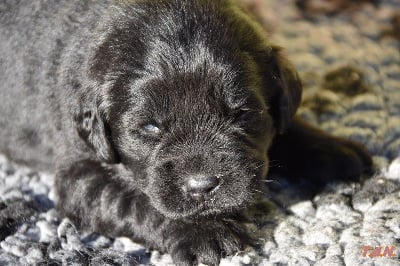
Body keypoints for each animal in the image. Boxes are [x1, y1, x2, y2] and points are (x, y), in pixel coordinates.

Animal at [0, 1, 370, 264]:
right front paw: (203, 232)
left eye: (241, 113)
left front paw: (337, 151)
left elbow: (287, 126)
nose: (203, 186)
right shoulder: (80, 170)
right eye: (150, 127)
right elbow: (133, 199)